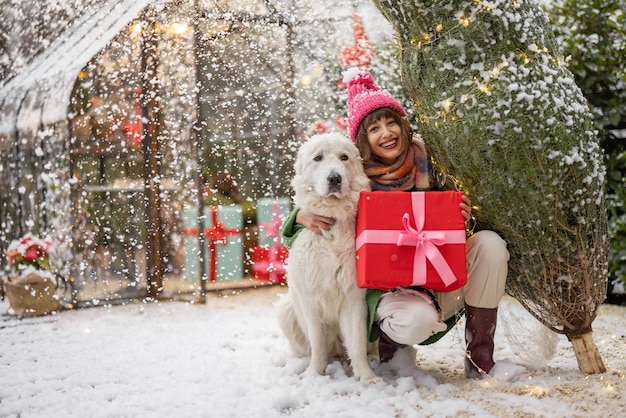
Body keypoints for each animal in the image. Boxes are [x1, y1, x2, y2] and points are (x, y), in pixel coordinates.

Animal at [278, 132, 380, 384]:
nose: (334, 178)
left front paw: (367, 376)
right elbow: (318, 344)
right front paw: (315, 374)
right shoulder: (311, 302)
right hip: (285, 309)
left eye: (344, 157)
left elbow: (357, 343)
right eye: (318, 158)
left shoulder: (354, 300)